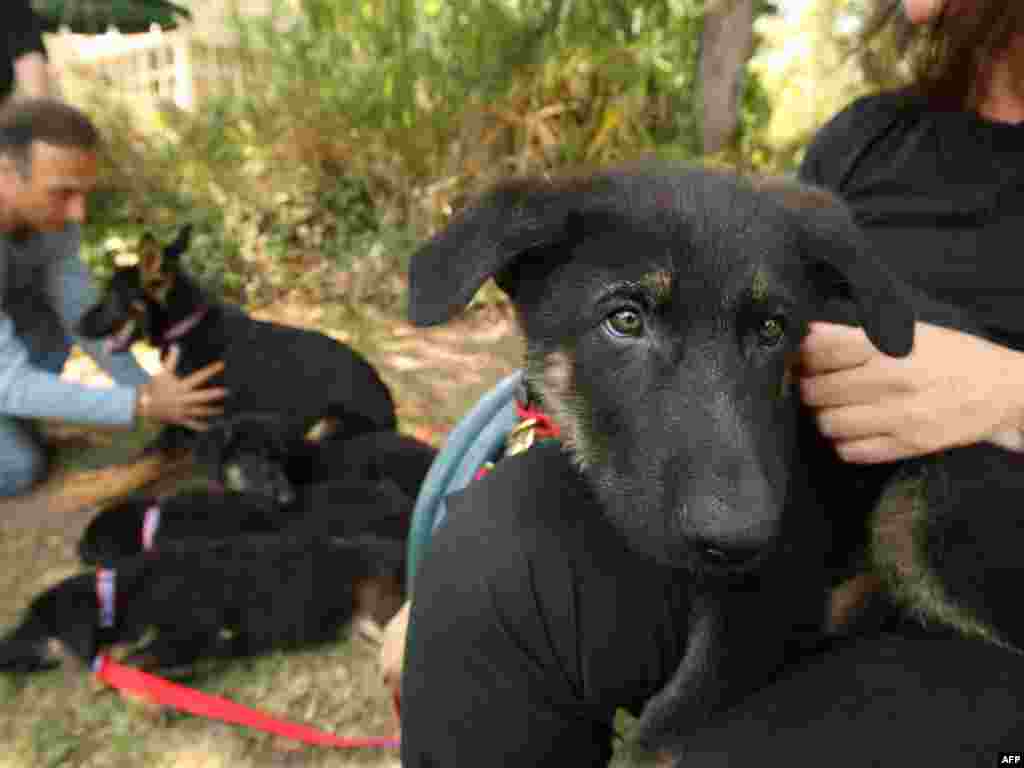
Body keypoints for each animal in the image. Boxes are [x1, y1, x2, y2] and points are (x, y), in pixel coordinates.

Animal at [74, 228, 395, 454]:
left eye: (111, 295)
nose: (76, 326)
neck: (187, 328)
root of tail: (389, 407)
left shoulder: (196, 430)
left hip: (325, 427)